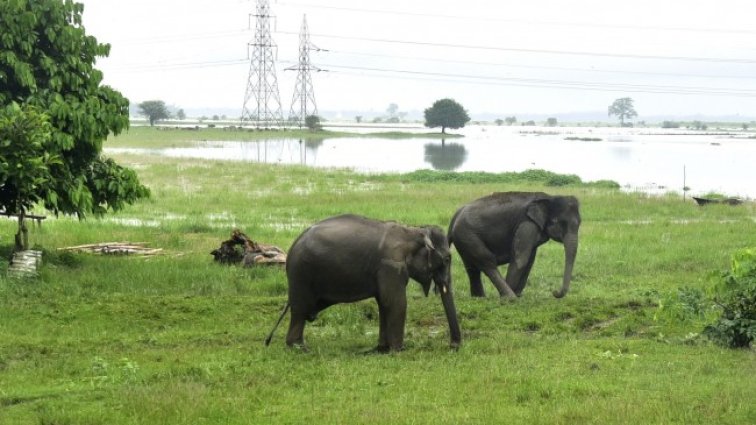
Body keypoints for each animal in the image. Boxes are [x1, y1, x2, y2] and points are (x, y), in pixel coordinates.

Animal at [268, 214, 464, 350]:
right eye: (447, 259)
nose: (453, 346)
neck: (413, 231)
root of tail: (292, 247)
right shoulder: (390, 265)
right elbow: (396, 302)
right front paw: (399, 350)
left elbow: (384, 303)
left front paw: (382, 349)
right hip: (301, 274)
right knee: (300, 309)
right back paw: (300, 348)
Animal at [446, 192, 580, 298]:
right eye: (557, 222)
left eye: (579, 224)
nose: (554, 292)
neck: (550, 197)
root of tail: (456, 214)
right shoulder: (527, 224)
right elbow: (521, 259)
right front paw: (512, 297)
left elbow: (530, 261)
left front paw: (518, 295)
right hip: (467, 234)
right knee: (487, 261)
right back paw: (509, 297)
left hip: (464, 239)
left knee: (471, 268)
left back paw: (480, 298)